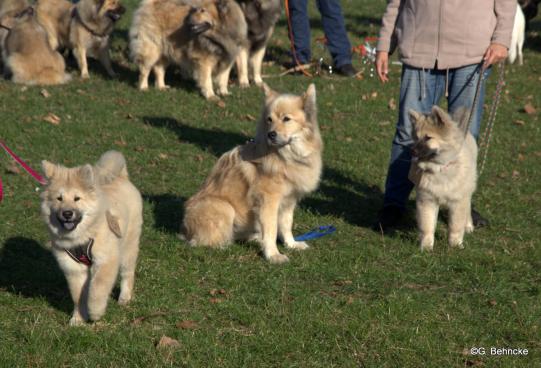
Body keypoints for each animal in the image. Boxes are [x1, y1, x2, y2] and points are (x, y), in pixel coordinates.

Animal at [40, 150, 142, 324]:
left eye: (77, 198)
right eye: (59, 198)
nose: (67, 213)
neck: (81, 237)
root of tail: (122, 177)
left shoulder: (105, 260)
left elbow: (97, 288)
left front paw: (95, 312)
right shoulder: (73, 268)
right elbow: (78, 296)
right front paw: (78, 319)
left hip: (128, 246)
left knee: (128, 273)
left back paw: (125, 298)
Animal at [184, 84, 322, 262]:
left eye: (286, 119)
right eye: (269, 120)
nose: (271, 134)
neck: (286, 156)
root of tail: (184, 229)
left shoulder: (289, 201)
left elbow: (286, 225)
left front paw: (291, 244)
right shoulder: (268, 201)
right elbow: (271, 229)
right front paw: (273, 255)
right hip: (224, 207)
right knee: (202, 241)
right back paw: (224, 244)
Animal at [408, 105, 474, 250]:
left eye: (428, 138)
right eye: (415, 137)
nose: (412, 151)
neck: (439, 169)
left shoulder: (458, 201)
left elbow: (456, 226)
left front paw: (455, 244)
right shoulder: (428, 200)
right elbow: (427, 225)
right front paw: (426, 246)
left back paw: (469, 225)